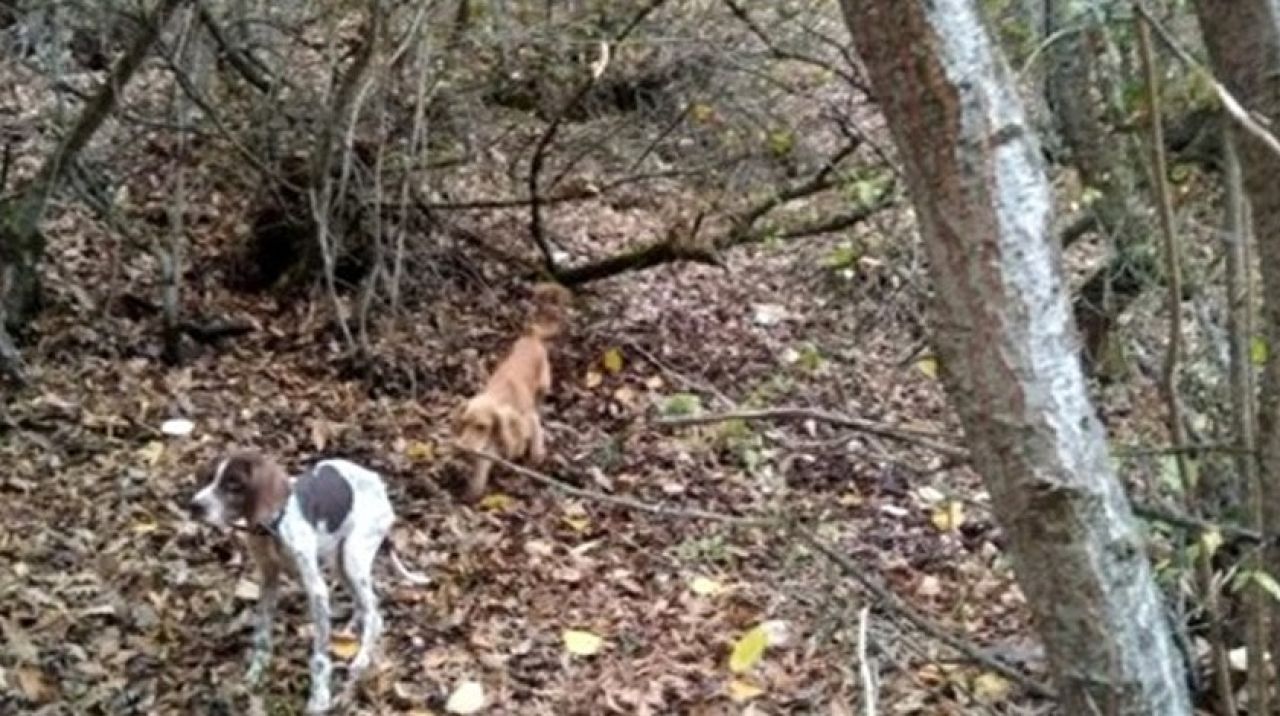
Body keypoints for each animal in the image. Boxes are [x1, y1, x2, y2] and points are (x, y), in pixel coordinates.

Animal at [186, 450, 424, 712]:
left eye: (233, 484)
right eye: (209, 478)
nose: (193, 505)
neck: (274, 525)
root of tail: (378, 481)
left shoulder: (316, 590)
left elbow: (319, 658)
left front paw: (319, 699)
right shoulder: (268, 580)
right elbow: (262, 634)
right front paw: (257, 673)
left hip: (354, 556)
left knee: (374, 612)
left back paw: (361, 659)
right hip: (339, 560)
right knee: (363, 604)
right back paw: (351, 628)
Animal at [453, 283, 568, 502]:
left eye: (481, 426)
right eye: (463, 423)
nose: (462, 449)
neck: (502, 396)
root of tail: (531, 334)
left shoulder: (529, 419)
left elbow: (534, 441)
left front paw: (534, 457)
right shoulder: (489, 443)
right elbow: (483, 465)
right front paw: (473, 492)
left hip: (544, 384)